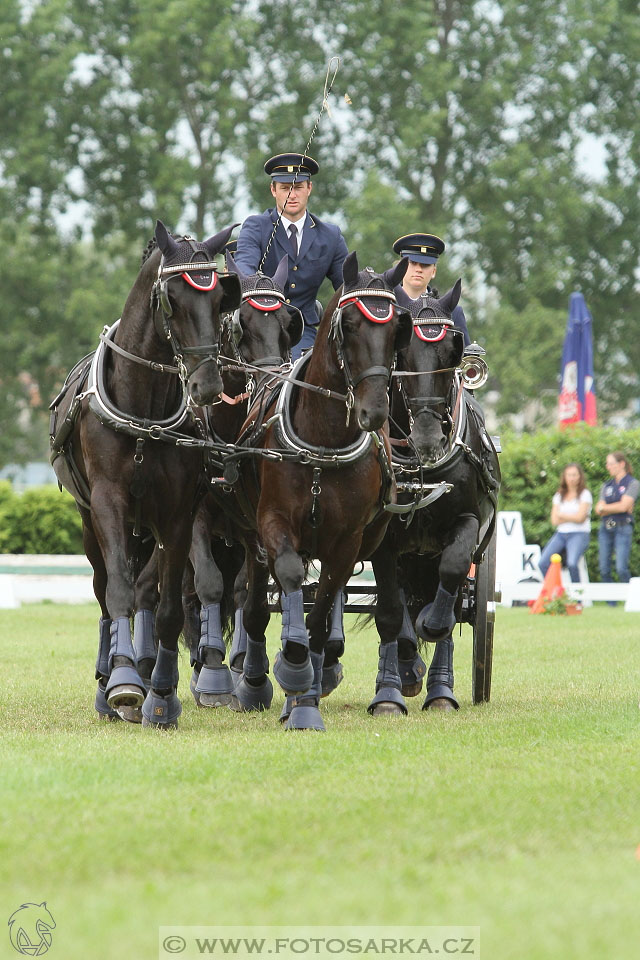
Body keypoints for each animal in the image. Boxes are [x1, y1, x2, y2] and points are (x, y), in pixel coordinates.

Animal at [49, 218, 240, 728]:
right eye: (171, 298)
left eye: (219, 298)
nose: (207, 386)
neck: (144, 409)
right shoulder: (107, 503)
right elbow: (117, 591)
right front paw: (122, 681)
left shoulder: (177, 515)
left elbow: (170, 607)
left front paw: (163, 696)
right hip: (88, 522)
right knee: (104, 589)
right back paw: (107, 681)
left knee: (146, 591)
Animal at [364, 282, 500, 716]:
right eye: (401, 352)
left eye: (452, 352)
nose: (427, 439)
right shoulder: (383, 540)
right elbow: (390, 612)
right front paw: (392, 689)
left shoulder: (469, 524)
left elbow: (452, 581)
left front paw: (431, 626)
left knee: (450, 600)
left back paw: (441, 691)